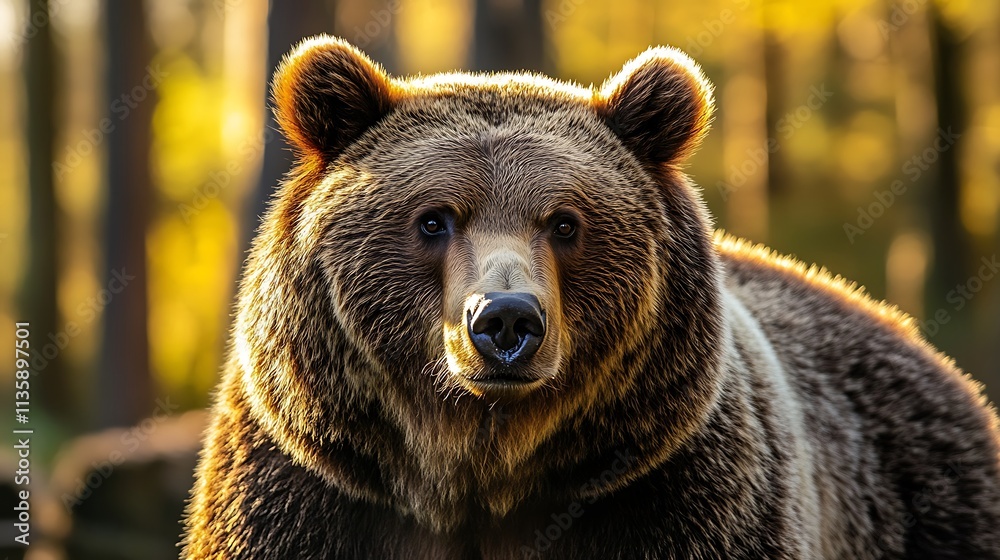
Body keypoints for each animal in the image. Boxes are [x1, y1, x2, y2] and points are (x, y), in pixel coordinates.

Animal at [182, 35, 1000, 559]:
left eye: (566, 222)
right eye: (434, 218)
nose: (505, 321)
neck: (482, 473)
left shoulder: (672, 494)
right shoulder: (314, 493)